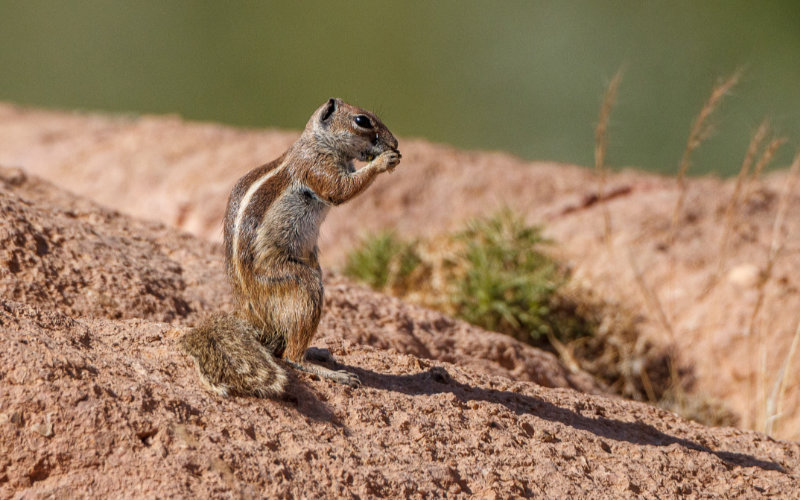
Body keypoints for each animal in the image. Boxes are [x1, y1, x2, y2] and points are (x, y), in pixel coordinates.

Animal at [181, 98, 401, 397]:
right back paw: (333, 372)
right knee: (291, 356)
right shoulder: (316, 167)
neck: (317, 142)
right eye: (362, 121)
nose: (396, 143)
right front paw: (384, 161)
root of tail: (254, 319)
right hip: (299, 283)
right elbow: (341, 189)